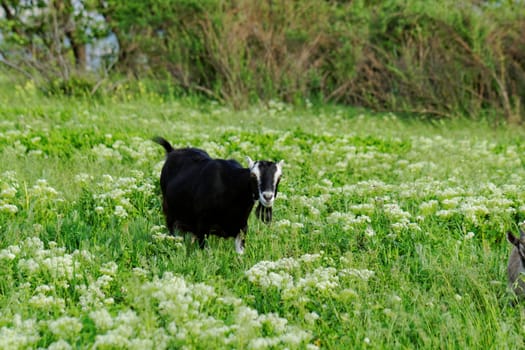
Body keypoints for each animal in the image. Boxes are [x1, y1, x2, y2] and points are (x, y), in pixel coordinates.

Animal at [152, 135, 282, 253]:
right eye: (253, 176)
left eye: (279, 177)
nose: (268, 196)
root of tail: (172, 151)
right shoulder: (202, 227)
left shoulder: (241, 228)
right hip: (169, 212)